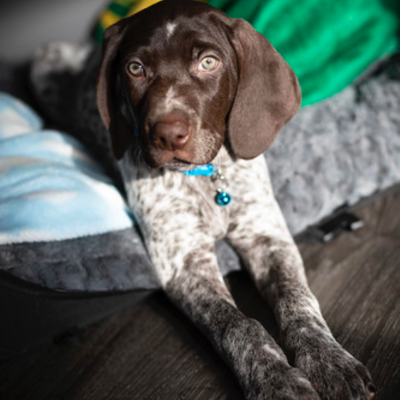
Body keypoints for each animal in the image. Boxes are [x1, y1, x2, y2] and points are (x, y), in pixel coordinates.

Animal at [32, 0, 376, 400]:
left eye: (208, 62)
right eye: (135, 69)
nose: (168, 135)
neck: (207, 177)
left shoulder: (268, 238)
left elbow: (298, 301)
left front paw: (329, 360)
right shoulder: (185, 263)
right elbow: (237, 325)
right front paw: (275, 379)